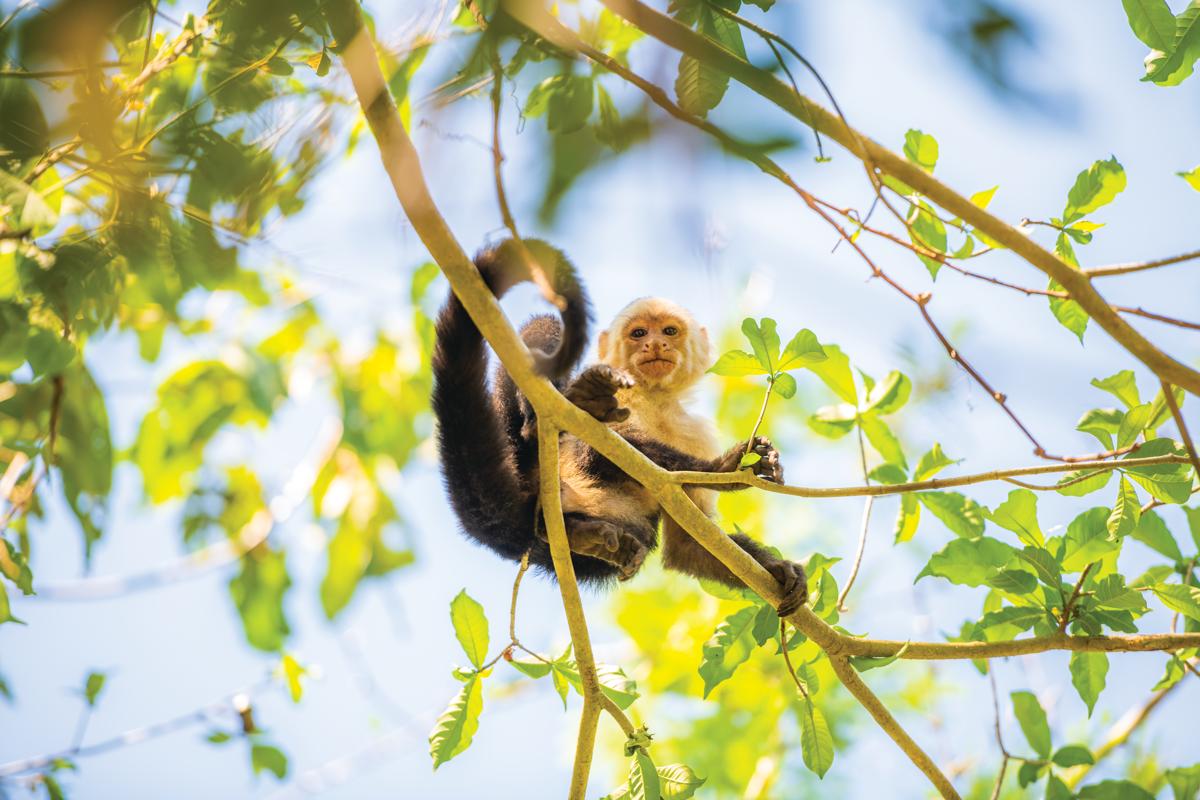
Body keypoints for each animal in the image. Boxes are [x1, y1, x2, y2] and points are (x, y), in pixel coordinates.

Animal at [432, 237, 806, 614]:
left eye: (669, 331)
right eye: (638, 333)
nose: (655, 343)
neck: (653, 400)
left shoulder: (696, 433)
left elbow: (689, 546)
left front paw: (780, 569)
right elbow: (598, 452)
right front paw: (724, 470)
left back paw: (583, 535)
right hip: (520, 450)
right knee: (547, 339)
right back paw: (557, 416)